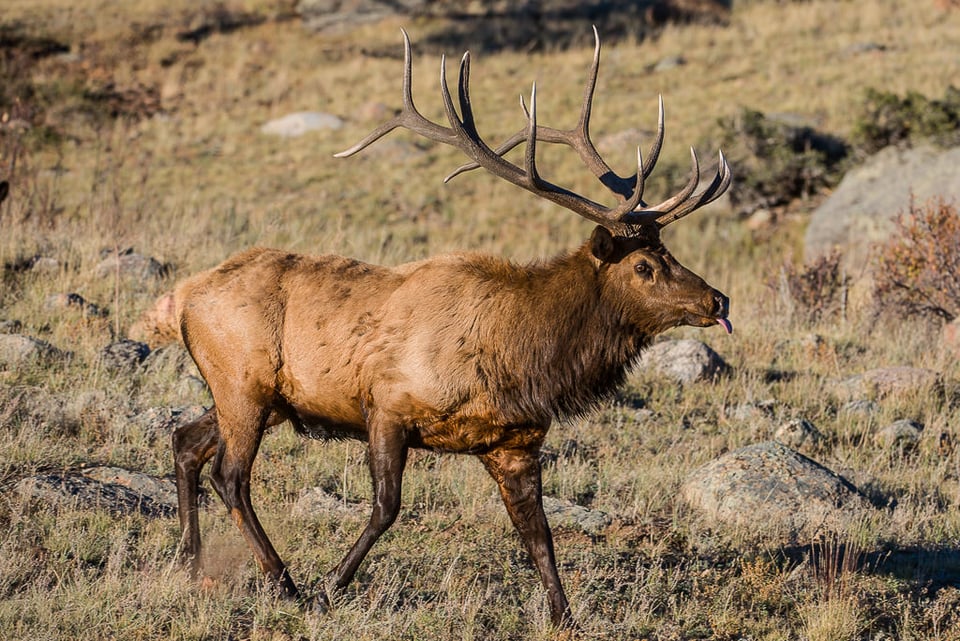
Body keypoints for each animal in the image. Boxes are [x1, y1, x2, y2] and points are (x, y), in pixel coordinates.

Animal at [172, 28, 732, 624]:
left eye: (670, 252)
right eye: (644, 266)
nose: (717, 299)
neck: (521, 359)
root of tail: (183, 300)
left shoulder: (515, 443)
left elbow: (539, 536)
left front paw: (565, 616)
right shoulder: (387, 405)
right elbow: (386, 507)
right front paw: (329, 587)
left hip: (262, 397)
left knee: (186, 440)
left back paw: (191, 565)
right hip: (244, 385)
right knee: (230, 476)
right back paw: (283, 582)